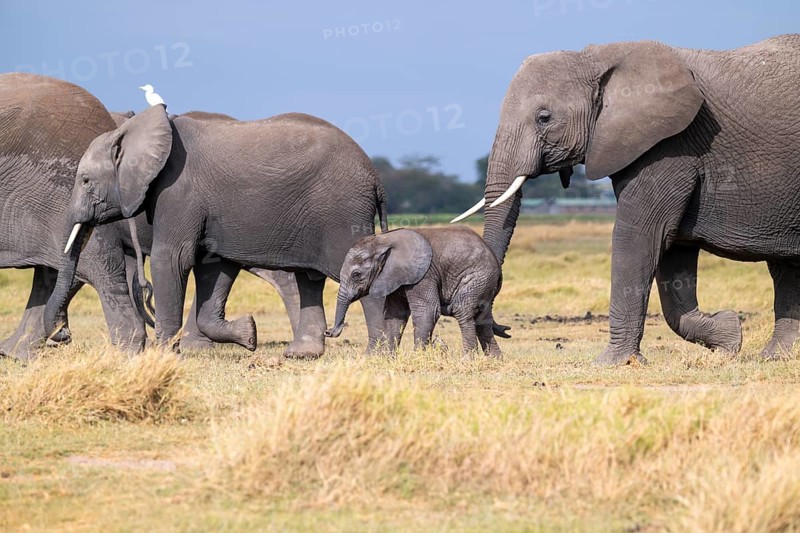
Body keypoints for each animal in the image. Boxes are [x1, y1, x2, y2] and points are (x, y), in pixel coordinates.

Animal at [47, 104, 389, 357]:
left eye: (85, 180)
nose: (60, 337)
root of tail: (375, 177)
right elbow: (215, 268)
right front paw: (249, 334)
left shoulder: (178, 191)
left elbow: (172, 259)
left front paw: (164, 356)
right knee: (310, 279)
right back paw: (301, 354)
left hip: (341, 214)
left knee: (356, 275)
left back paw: (377, 354)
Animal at [325, 227, 504, 357]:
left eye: (356, 274)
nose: (328, 331)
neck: (383, 241)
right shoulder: (394, 277)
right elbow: (395, 315)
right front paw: (389, 358)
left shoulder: (423, 275)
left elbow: (427, 310)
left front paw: (419, 357)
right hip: (484, 282)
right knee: (483, 319)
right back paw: (494, 360)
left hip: (477, 276)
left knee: (463, 311)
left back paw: (467, 359)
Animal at [453, 34, 800, 364]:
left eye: (544, 117)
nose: (505, 331)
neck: (596, 58)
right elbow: (674, 251)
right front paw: (728, 336)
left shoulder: (671, 145)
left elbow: (638, 237)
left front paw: (612, 363)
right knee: (785, 267)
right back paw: (775, 357)